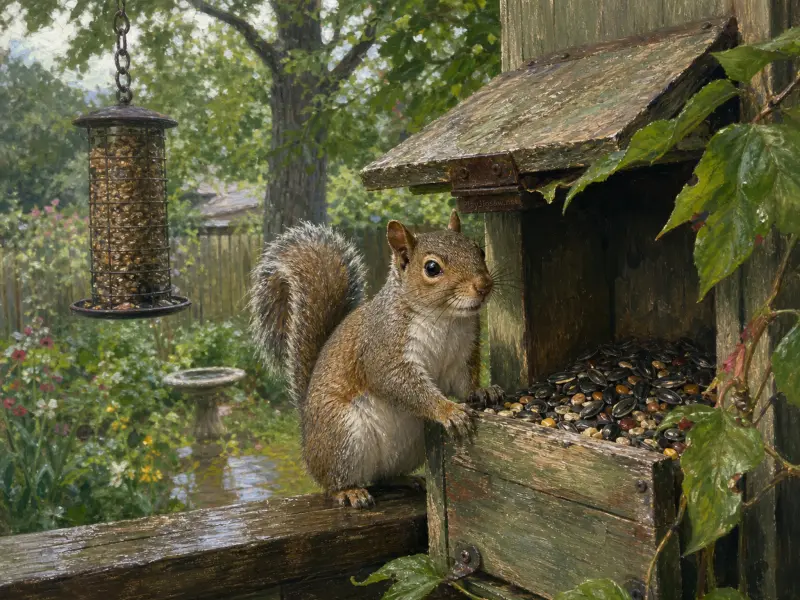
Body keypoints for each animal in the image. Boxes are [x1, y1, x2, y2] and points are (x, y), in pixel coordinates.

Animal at [249, 209, 501, 508]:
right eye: (432, 268)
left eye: (480, 250)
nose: (484, 286)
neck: (446, 319)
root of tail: (306, 433)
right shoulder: (383, 347)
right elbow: (399, 383)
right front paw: (448, 410)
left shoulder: (463, 355)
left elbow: (463, 383)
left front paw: (483, 391)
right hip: (342, 435)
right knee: (333, 482)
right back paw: (349, 491)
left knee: (382, 477)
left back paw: (404, 480)